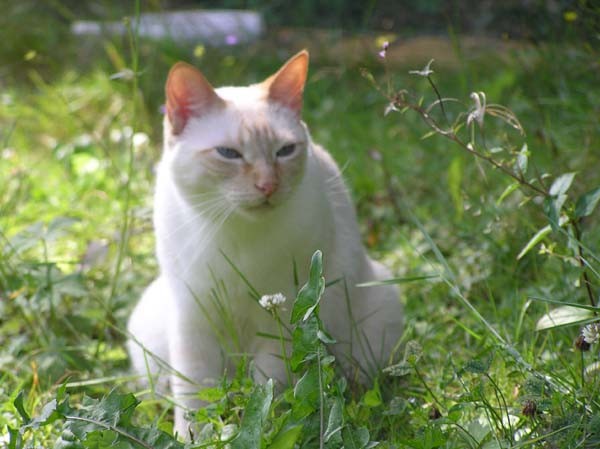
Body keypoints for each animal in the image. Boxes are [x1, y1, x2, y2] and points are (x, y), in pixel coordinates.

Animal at [129, 50, 406, 436]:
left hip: (376, 307)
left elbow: (267, 390)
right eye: (229, 154)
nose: (268, 186)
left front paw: (259, 429)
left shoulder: (282, 315)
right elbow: (194, 395)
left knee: (356, 376)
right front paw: (193, 438)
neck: (233, 233)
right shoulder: (192, 315)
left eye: (285, 151)